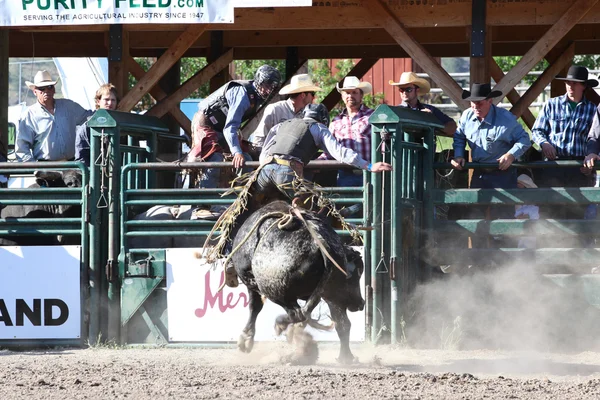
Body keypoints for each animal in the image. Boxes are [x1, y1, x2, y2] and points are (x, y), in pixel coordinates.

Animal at [230, 200, 364, 362]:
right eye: (353, 276)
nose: (360, 303)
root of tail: (321, 243)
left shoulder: (249, 279)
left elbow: (254, 307)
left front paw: (246, 339)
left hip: (274, 289)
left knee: (297, 314)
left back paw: (282, 326)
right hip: (333, 294)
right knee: (341, 323)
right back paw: (345, 357)